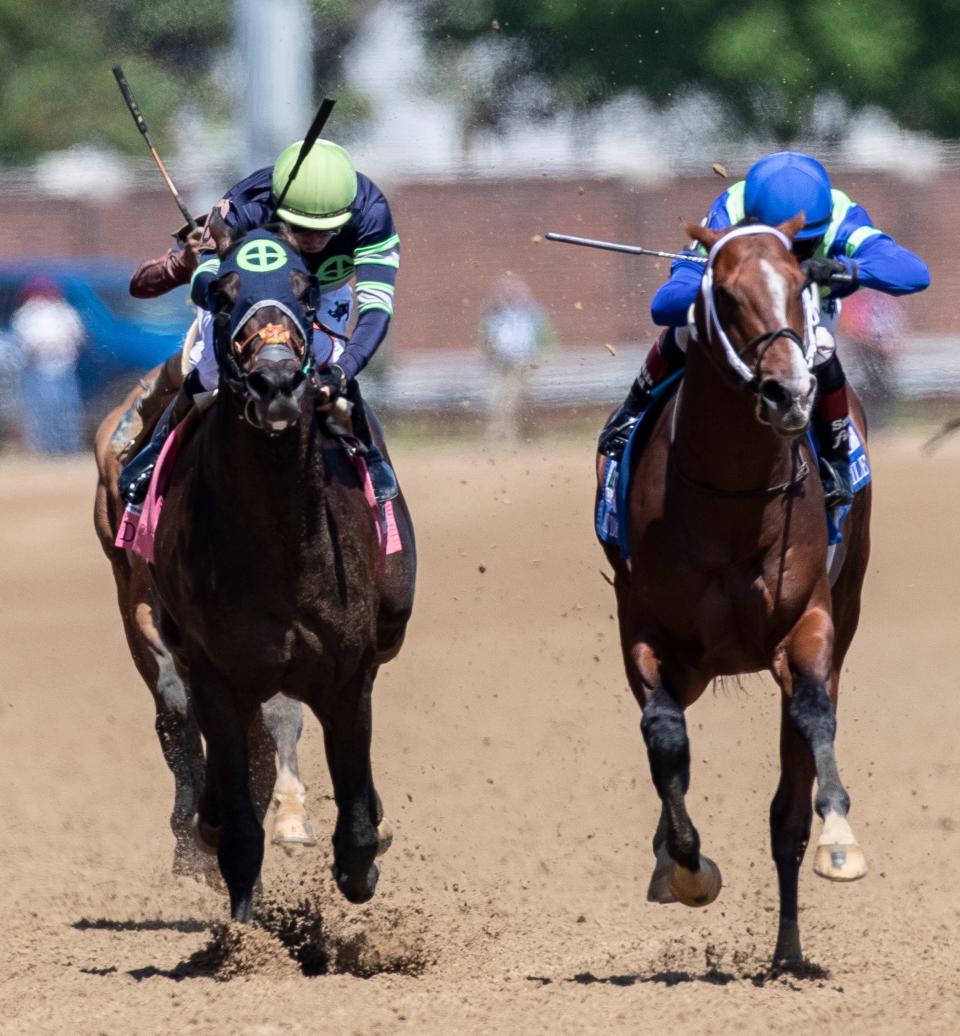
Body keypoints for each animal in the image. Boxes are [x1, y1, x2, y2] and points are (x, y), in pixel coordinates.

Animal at [604, 220, 874, 969]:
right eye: (724, 294)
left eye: (801, 279)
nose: (789, 394)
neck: (731, 497)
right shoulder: (646, 630)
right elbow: (664, 738)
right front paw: (685, 866)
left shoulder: (807, 622)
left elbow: (813, 719)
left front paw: (840, 839)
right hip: (697, 667)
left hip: (843, 615)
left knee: (791, 795)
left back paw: (789, 951)